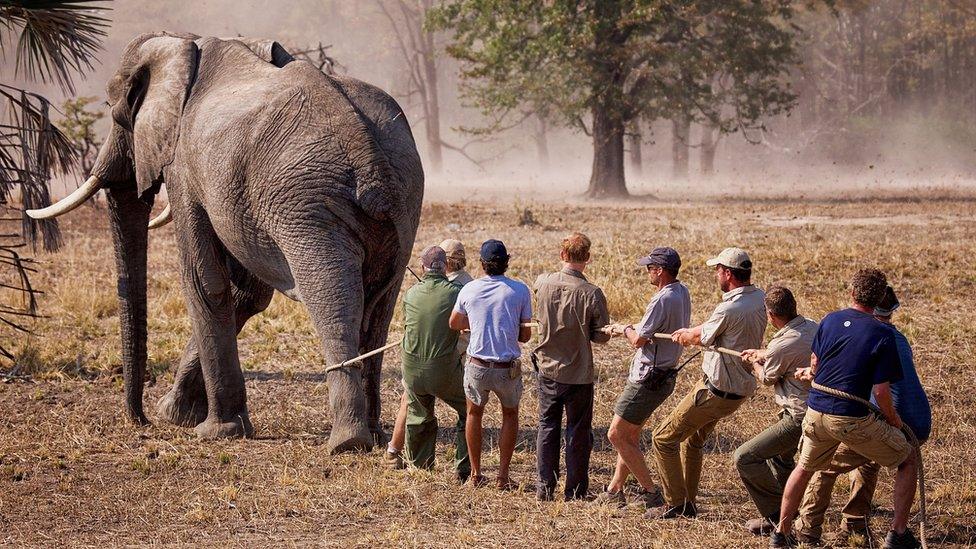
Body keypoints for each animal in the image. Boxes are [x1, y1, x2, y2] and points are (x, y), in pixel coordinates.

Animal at [25, 33, 424, 454]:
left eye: (115, 111)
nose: (140, 420)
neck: (185, 46)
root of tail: (368, 152)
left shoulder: (184, 165)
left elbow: (204, 282)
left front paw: (215, 430)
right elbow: (245, 292)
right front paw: (176, 414)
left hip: (308, 206)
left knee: (333, 298)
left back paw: (347, 442)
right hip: (402, 202)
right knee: (379, 306)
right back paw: (375, 434)